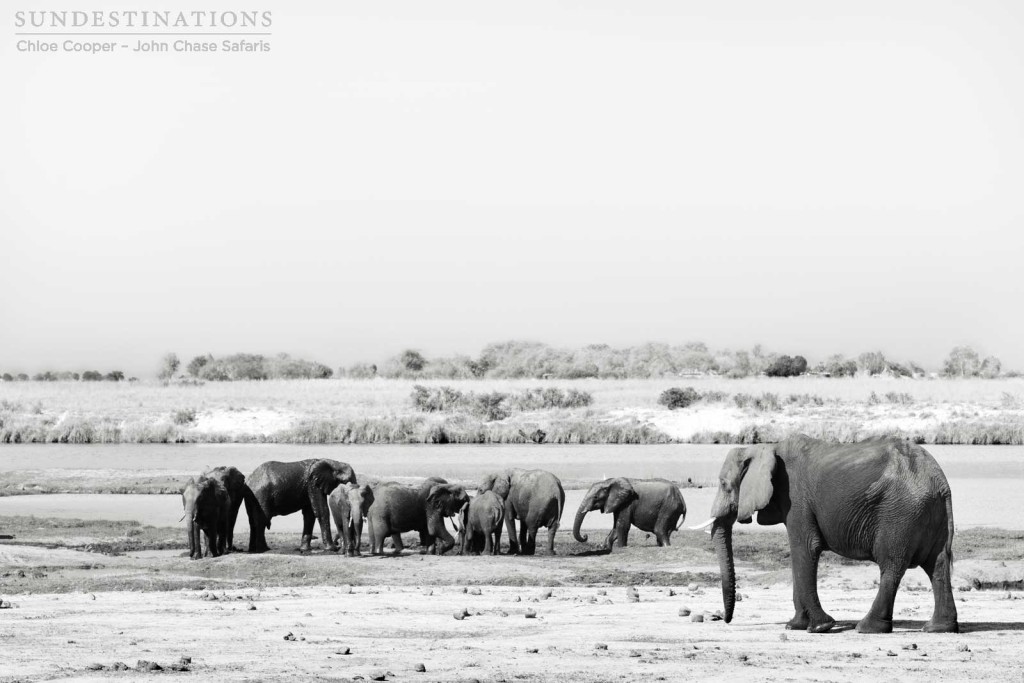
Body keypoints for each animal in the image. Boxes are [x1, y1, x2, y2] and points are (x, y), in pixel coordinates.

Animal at [692, 436, 962, 634]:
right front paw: (795, 626)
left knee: (892, 566)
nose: (724, 620)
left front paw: (821, 626)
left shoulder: (796, 499)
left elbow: (804, 549)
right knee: (937, 565)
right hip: (927, 513)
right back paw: (938, 628)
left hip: (900, 513)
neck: (766, 447)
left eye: (724, 484)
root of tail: (940, 481)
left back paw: (867, 628)